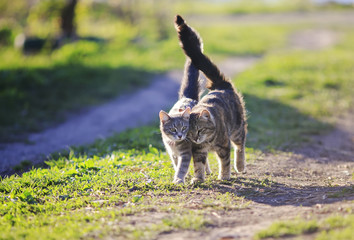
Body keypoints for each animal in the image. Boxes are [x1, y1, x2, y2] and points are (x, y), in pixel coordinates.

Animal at [160, 19, 212, 184]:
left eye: (184, 128)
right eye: (173, 129)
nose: (180, 136)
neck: (174, 144)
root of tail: (188, 98)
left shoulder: (186, 152)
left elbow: (182, 167)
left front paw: (178, 179)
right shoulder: (172, 153)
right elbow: (177, 164)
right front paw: (181, 176)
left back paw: (207, 171)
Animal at [175, 15, 248, 183]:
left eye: (200, 129)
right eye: (189, 132)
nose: (196, 138)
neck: (207, 141)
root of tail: (221, 84)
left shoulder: (224, 146)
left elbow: (225, 162)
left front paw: (224, 176)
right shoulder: (198, 150)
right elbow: (198, 165)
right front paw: (198, 179)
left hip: (237, 129)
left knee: (240, 146)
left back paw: (240, 166)